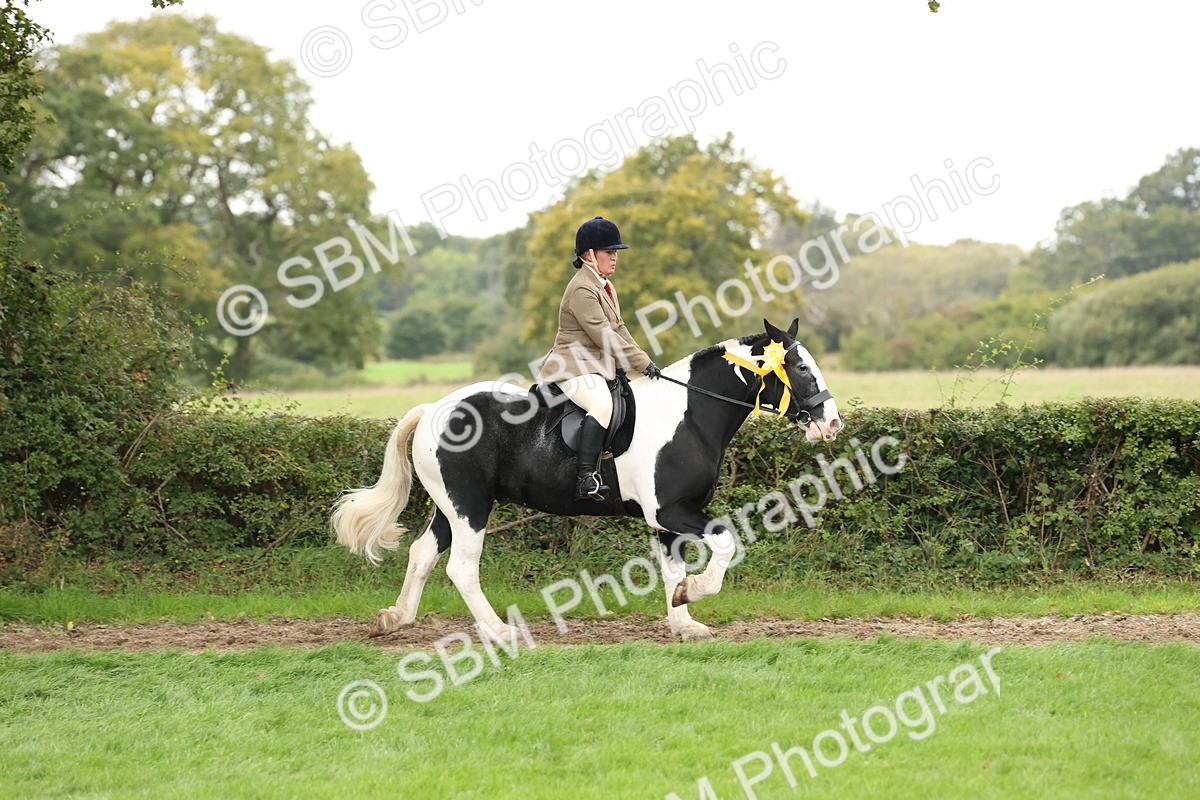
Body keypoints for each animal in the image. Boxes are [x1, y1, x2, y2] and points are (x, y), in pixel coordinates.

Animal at [332, 318, 841, 642]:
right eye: (800, 368)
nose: (831, 424)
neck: (690, 414)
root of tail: (433, 409)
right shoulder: (673, 510)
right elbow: (725, 542)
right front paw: (695, 593)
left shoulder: (666, 518)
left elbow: (672, 567)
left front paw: (684, 623)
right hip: (470, 506)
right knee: (460, 566)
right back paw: (500, 631)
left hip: (451, 505)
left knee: (422, 553)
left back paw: (394, 619)